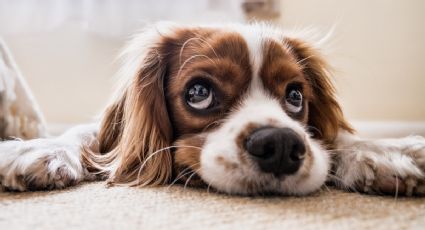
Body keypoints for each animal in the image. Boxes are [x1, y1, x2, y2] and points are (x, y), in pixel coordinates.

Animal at [0, 22, 424, 196]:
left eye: (295, 97)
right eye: (199, 92)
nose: (281, 145)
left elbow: (338, 138)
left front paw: (384, 151)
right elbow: (85, 135)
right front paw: (37, 149)